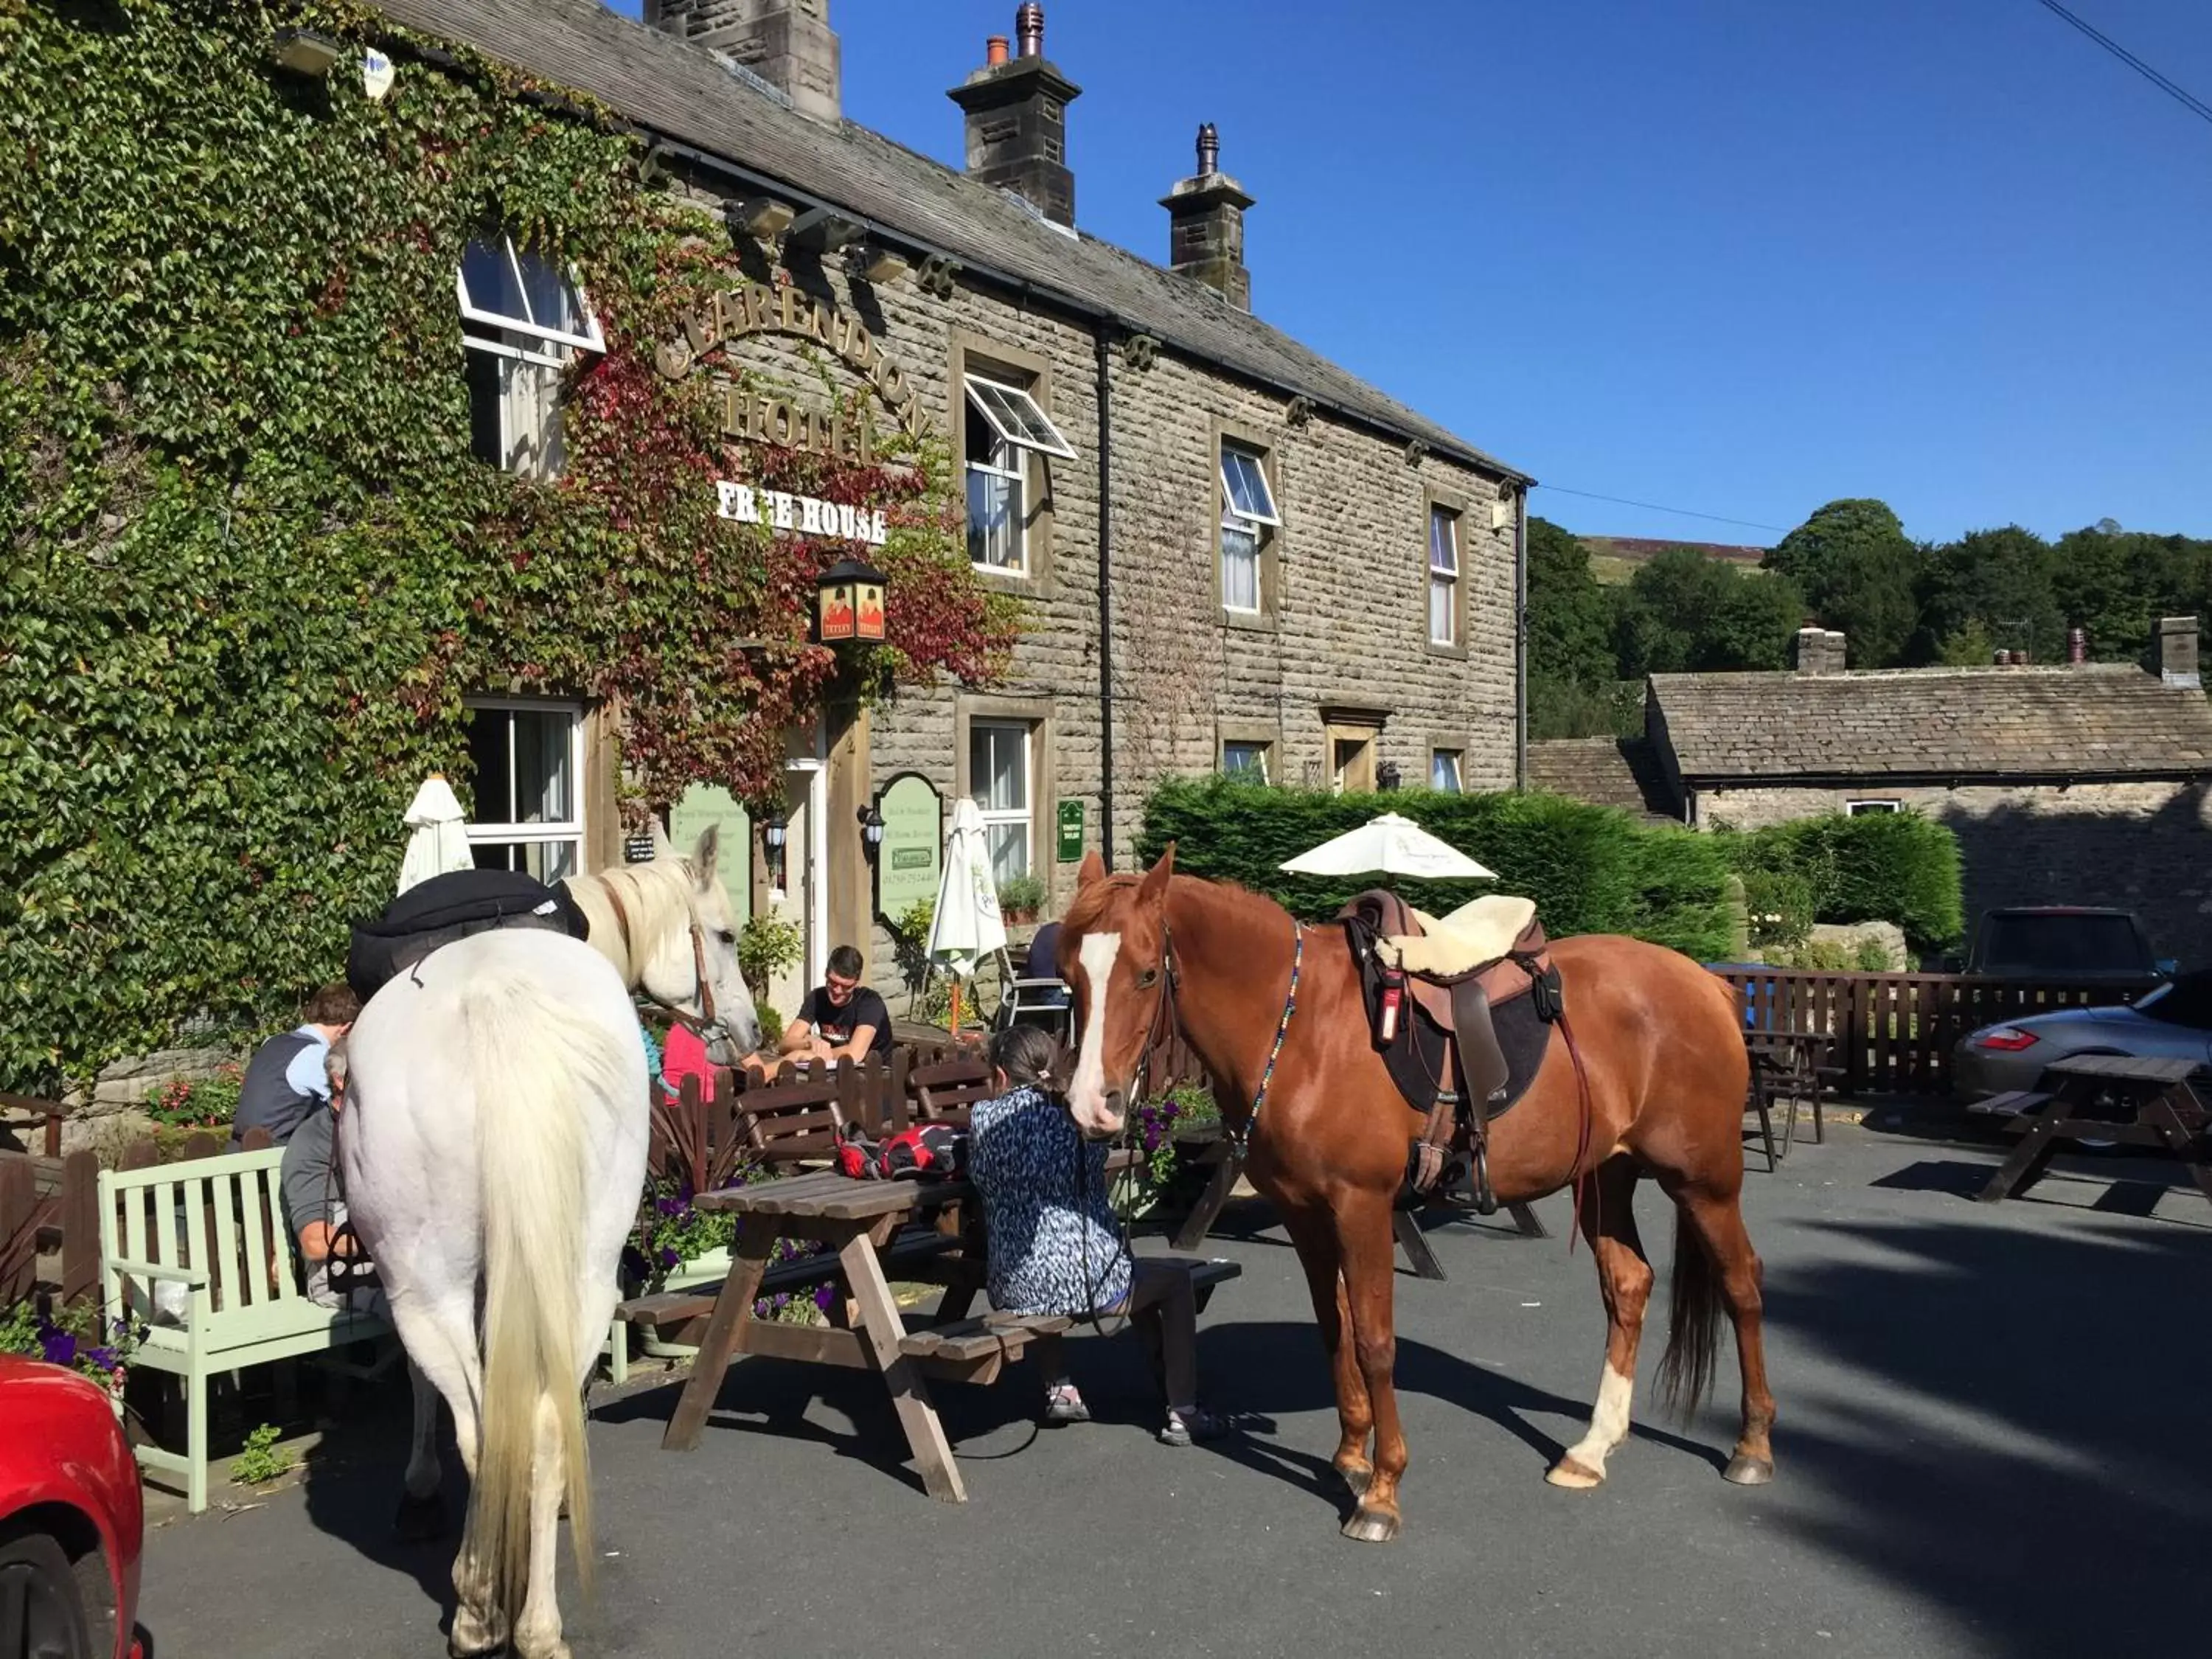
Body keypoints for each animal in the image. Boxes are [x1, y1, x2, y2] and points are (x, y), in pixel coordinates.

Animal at [343, 827, 761, 1655]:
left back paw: (487, 1610)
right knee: (520, 1426)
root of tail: (493, 1002)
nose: (752, 1031)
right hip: (572, 1276)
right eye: (727, 934)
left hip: (437, 1286)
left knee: (498, 1430)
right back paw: (520, 1619)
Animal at [1057, 849, 1778, 1557]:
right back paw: (1592, 1449)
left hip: (1705, 1182)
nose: (1093, 1107)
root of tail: (1708, 984)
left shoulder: (1362, 1209)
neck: (1302, 1030)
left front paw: (1382, 1492)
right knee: (1629, 1286)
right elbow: (1335, 1331)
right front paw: (1351, 1458)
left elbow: (1374, 1342)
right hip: (1607, 1176)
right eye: (1069, 978)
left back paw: (1753, 1446)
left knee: (1741, 1284)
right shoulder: (1305, 1215)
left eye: (1148, 974)